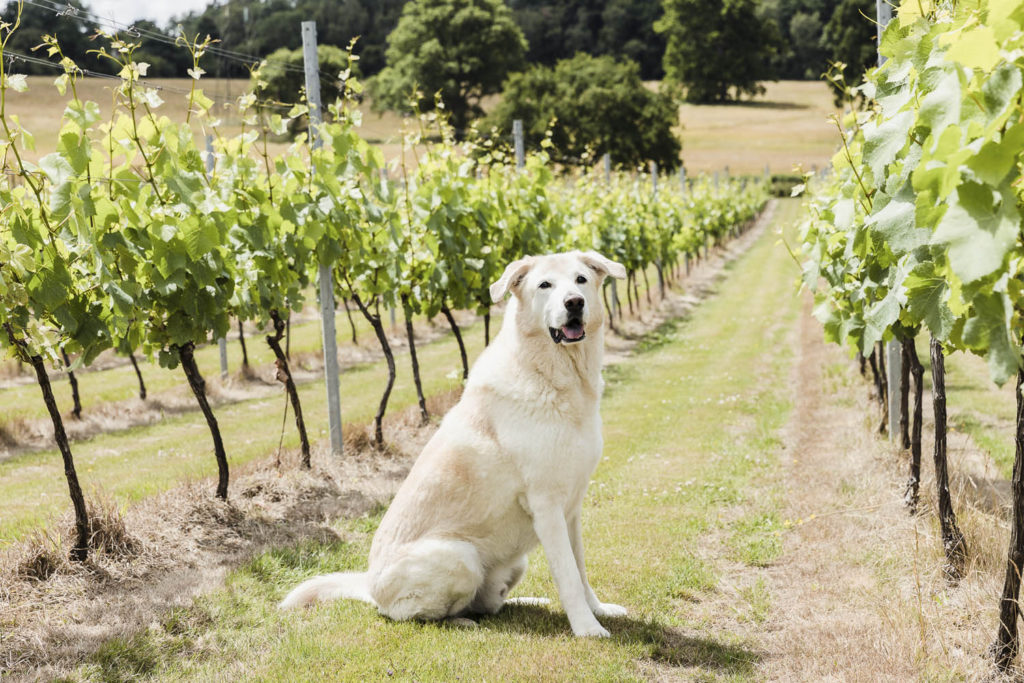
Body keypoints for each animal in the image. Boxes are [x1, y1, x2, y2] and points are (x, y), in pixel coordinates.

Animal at [284, 249, 626, 634]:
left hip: (514, 563)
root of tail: (370, 587)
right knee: (416, 615)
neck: (558, 379)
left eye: (581, 280)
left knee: (488, 603)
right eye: (545, 285)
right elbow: (567, 574)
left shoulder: (571, 509)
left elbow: (580, 570)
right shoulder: (547, 505)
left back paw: (526, 602)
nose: (574, 303)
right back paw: (461, 622)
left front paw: (597, 610)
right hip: (460, 557)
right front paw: (587, 629)